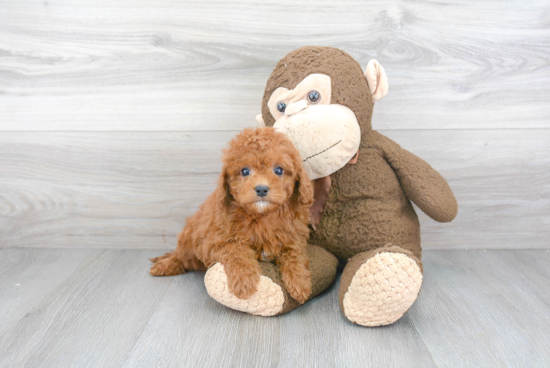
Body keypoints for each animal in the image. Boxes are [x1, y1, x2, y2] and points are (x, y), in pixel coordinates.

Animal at [150, 128, 314, 304]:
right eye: (245, 171)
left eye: (279, 170)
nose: (261, 189)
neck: (261, 216)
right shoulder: (215, 241)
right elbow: (236, 251)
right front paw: (244, 282)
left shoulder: (294, 236)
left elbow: (295, 255)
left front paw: (300, 283)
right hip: (189, 237)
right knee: (182, 256)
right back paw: (166, 265)